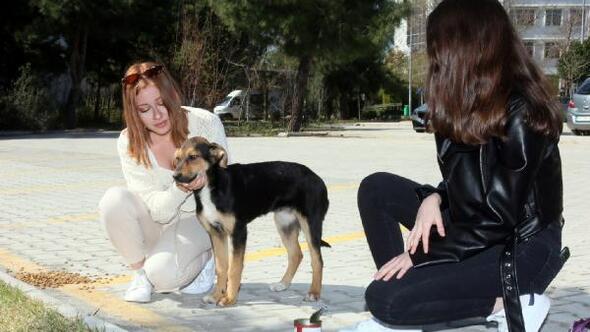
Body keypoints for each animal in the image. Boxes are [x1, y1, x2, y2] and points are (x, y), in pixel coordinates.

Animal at [172, 137, 332, 306]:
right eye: (177, 158)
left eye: (193, 157)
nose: (175, 176)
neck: (212, 186)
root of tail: (318, 179)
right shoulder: (216, 233)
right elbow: (221, 267)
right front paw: (215, 295)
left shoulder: (238, 232)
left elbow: (234, 268)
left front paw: (229, 298)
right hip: (284, 224)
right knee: (296, 254)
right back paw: (282, 284)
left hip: (311, 224)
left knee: (317, 260)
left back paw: (313, 293)